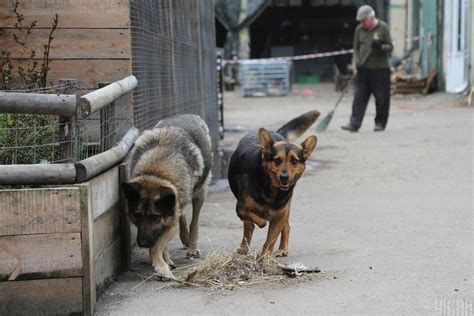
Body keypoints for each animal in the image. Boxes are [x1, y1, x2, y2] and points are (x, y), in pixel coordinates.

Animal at [122, 115, 211, 278]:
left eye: (155, 217)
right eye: (137, 215)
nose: (143, 244)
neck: (156, 173)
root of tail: (189, 115)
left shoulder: (170, 223)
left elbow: (156, 246)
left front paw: (161, 266)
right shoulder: (169, 217)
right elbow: (161, 244)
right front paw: (166, 261)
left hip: (200, 193)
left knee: (194, 220)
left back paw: (192, 247)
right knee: (182, 213)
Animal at [227, 110, 318, 258]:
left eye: (294, 161)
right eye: (277, 160)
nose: (284, 177)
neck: (272, 190)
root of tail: (275, 132)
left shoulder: (279, 217)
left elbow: (270, 241)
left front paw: (266, 258)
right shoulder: (241, 209)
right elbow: (259, 222)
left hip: (286, 209)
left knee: (286, 226)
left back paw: (282, 248)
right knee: (248, 228)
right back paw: (244, 248)